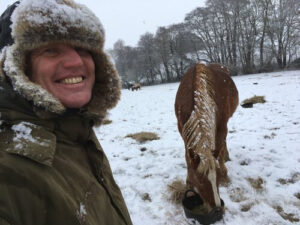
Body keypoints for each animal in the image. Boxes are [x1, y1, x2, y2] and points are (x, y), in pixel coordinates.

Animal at [175, 61, 238, 214]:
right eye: (201, 181)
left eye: (218, 177)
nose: (217, 207)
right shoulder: (183, 131)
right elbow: (188, 157)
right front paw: (188, 181)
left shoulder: (221, 127)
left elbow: (219, 150)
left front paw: (225, 172)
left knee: (224, 144)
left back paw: (226, 155)